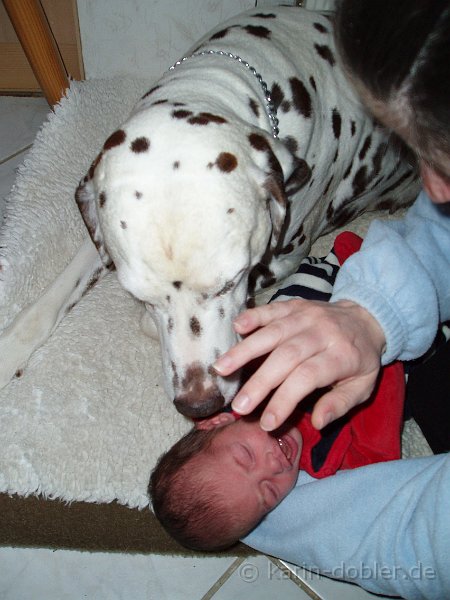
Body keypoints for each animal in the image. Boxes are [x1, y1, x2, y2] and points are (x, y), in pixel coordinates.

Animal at [0, 5, 418, 418]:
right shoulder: (103, 239)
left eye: (231, 281)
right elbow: (55, 295)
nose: (200, 405)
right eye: (139, 294)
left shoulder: (279, 261)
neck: (222, 75)